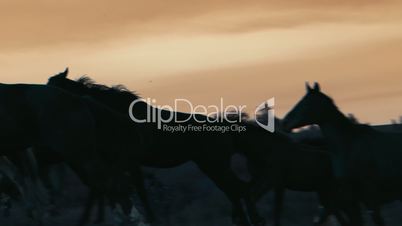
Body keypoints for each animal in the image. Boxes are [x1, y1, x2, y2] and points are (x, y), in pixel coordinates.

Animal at [47, 69, 266, 226]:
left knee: (238, 189)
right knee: (235, 191)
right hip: (212, 166)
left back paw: (252, 220)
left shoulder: (128, 162)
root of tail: (226, 127)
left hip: (214, 165)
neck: (112, 115)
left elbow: (135, 190)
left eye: (53, 87)